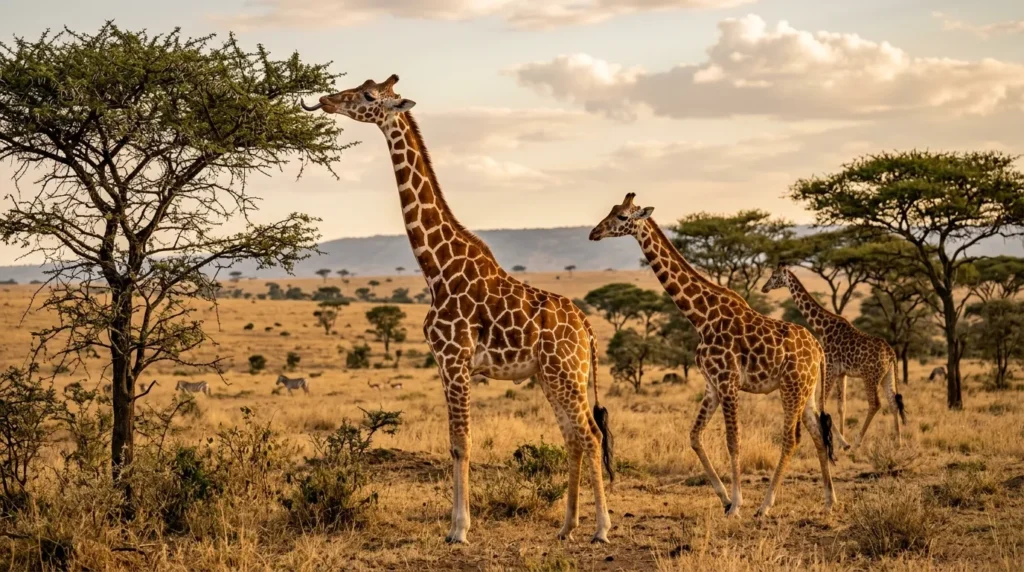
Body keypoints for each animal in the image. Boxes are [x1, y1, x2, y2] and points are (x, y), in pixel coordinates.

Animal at [301, 75, 613, 544]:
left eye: (369, 96)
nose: (326, 99)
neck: (436, 268)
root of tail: (587, 328)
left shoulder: (456, 359)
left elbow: (460, 443)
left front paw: (459, 529)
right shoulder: (444, 363)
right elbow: (454, 442)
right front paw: (458, 524)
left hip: (566, 374)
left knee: (591, 435)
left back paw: (601, 529)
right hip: (551, 376)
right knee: (574, 436)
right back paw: (566, 527)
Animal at [589, 193, 837, 518]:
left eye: (621, 216)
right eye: (612, 210)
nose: (594, 233)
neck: (701, 317)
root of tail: (819, 350)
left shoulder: (728, 382)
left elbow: (733, 441)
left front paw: (737, 505)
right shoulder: (712, 385)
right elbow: (695, 436)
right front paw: (725, 499)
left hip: (791, 387)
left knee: (791, 438)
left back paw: (765, 506)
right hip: (807, 390)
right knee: (818, 434)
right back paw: (830, 500)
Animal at [761, 265, 906, 447]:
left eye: (774, 276)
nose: (764, 288)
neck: (823, 327)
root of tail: (891, 353)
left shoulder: (830, 368)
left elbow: (823, 402)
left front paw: (844, 442)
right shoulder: (842, 373)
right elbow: (841, 406)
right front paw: (842, 437)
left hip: (870, 376)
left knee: (875, 404)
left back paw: (858, 442)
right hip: (887, 375)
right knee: (893, 402)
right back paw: (898, 442)